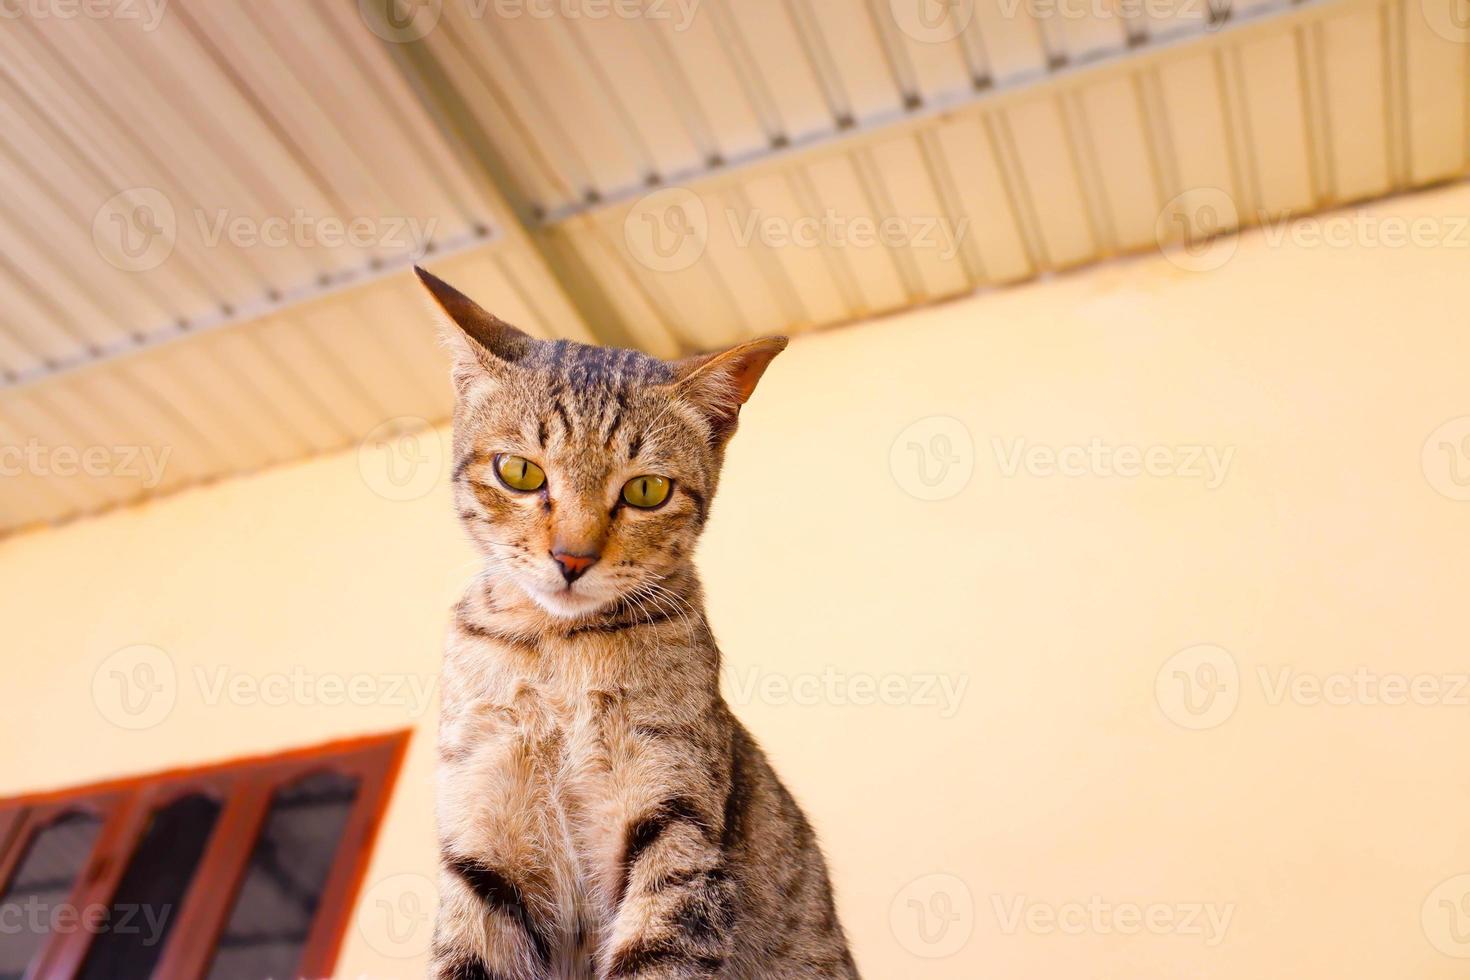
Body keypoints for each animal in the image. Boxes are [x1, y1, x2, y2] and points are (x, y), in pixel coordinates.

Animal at [417, 268, 858, 980]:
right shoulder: (482, 836)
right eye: (520, 472)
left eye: (646, 490)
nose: (572, 558)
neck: (555, 651)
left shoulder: (671, 818)